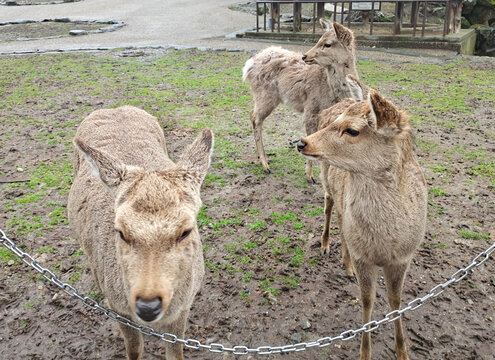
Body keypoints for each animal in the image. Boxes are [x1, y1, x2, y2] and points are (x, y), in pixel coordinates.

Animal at [67, 105, 214, 358]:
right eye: (120, 232)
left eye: (186, 231)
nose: (147, 306)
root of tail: (115, 107)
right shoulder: (119, 306)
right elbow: (134, 348)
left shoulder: (184, 306)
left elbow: (176, 352)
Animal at [244, 18, 360, 183]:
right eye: (319, 39)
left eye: (327, 44)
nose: (305, 56)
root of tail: (248, 66)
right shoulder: (311, 108)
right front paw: (310, 176)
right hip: (265, 95)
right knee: (254, 117)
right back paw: (265, 164)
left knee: (252, 114)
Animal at [296, 88, 428, 358]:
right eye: (336, 123)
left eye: (352, 130)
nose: (302, 142)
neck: (384, 244)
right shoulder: (363, 258)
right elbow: (367, 300)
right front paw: (365, 352)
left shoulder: (403, 258)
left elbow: (396, 300)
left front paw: (402, 351)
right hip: (326, 177)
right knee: (329, 207)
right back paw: (326, 246)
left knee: (340, 216)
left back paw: (345, 264)